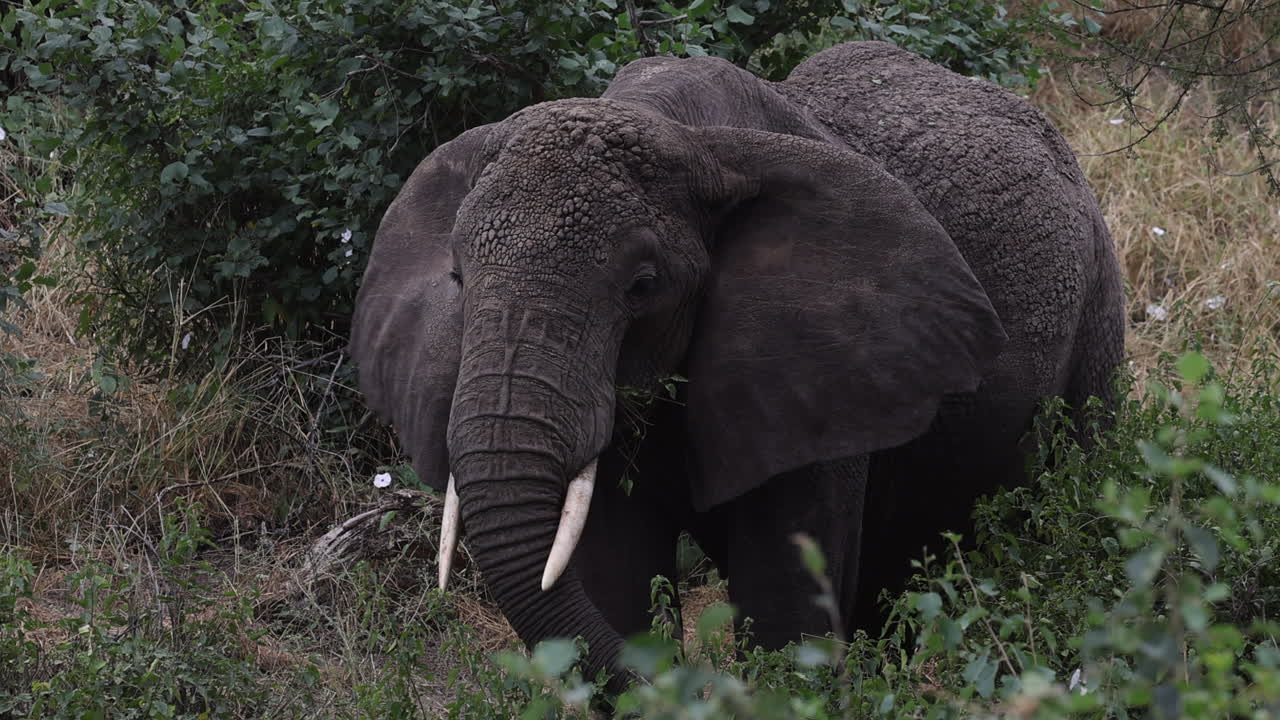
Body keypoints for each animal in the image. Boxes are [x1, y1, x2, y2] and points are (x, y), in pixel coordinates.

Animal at [350, 41, 1125, 689]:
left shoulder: (823, 365)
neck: (684, 135)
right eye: (457, 278)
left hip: (1100, 303)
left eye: (642, 285)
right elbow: (610, 581)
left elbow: (786, 607)